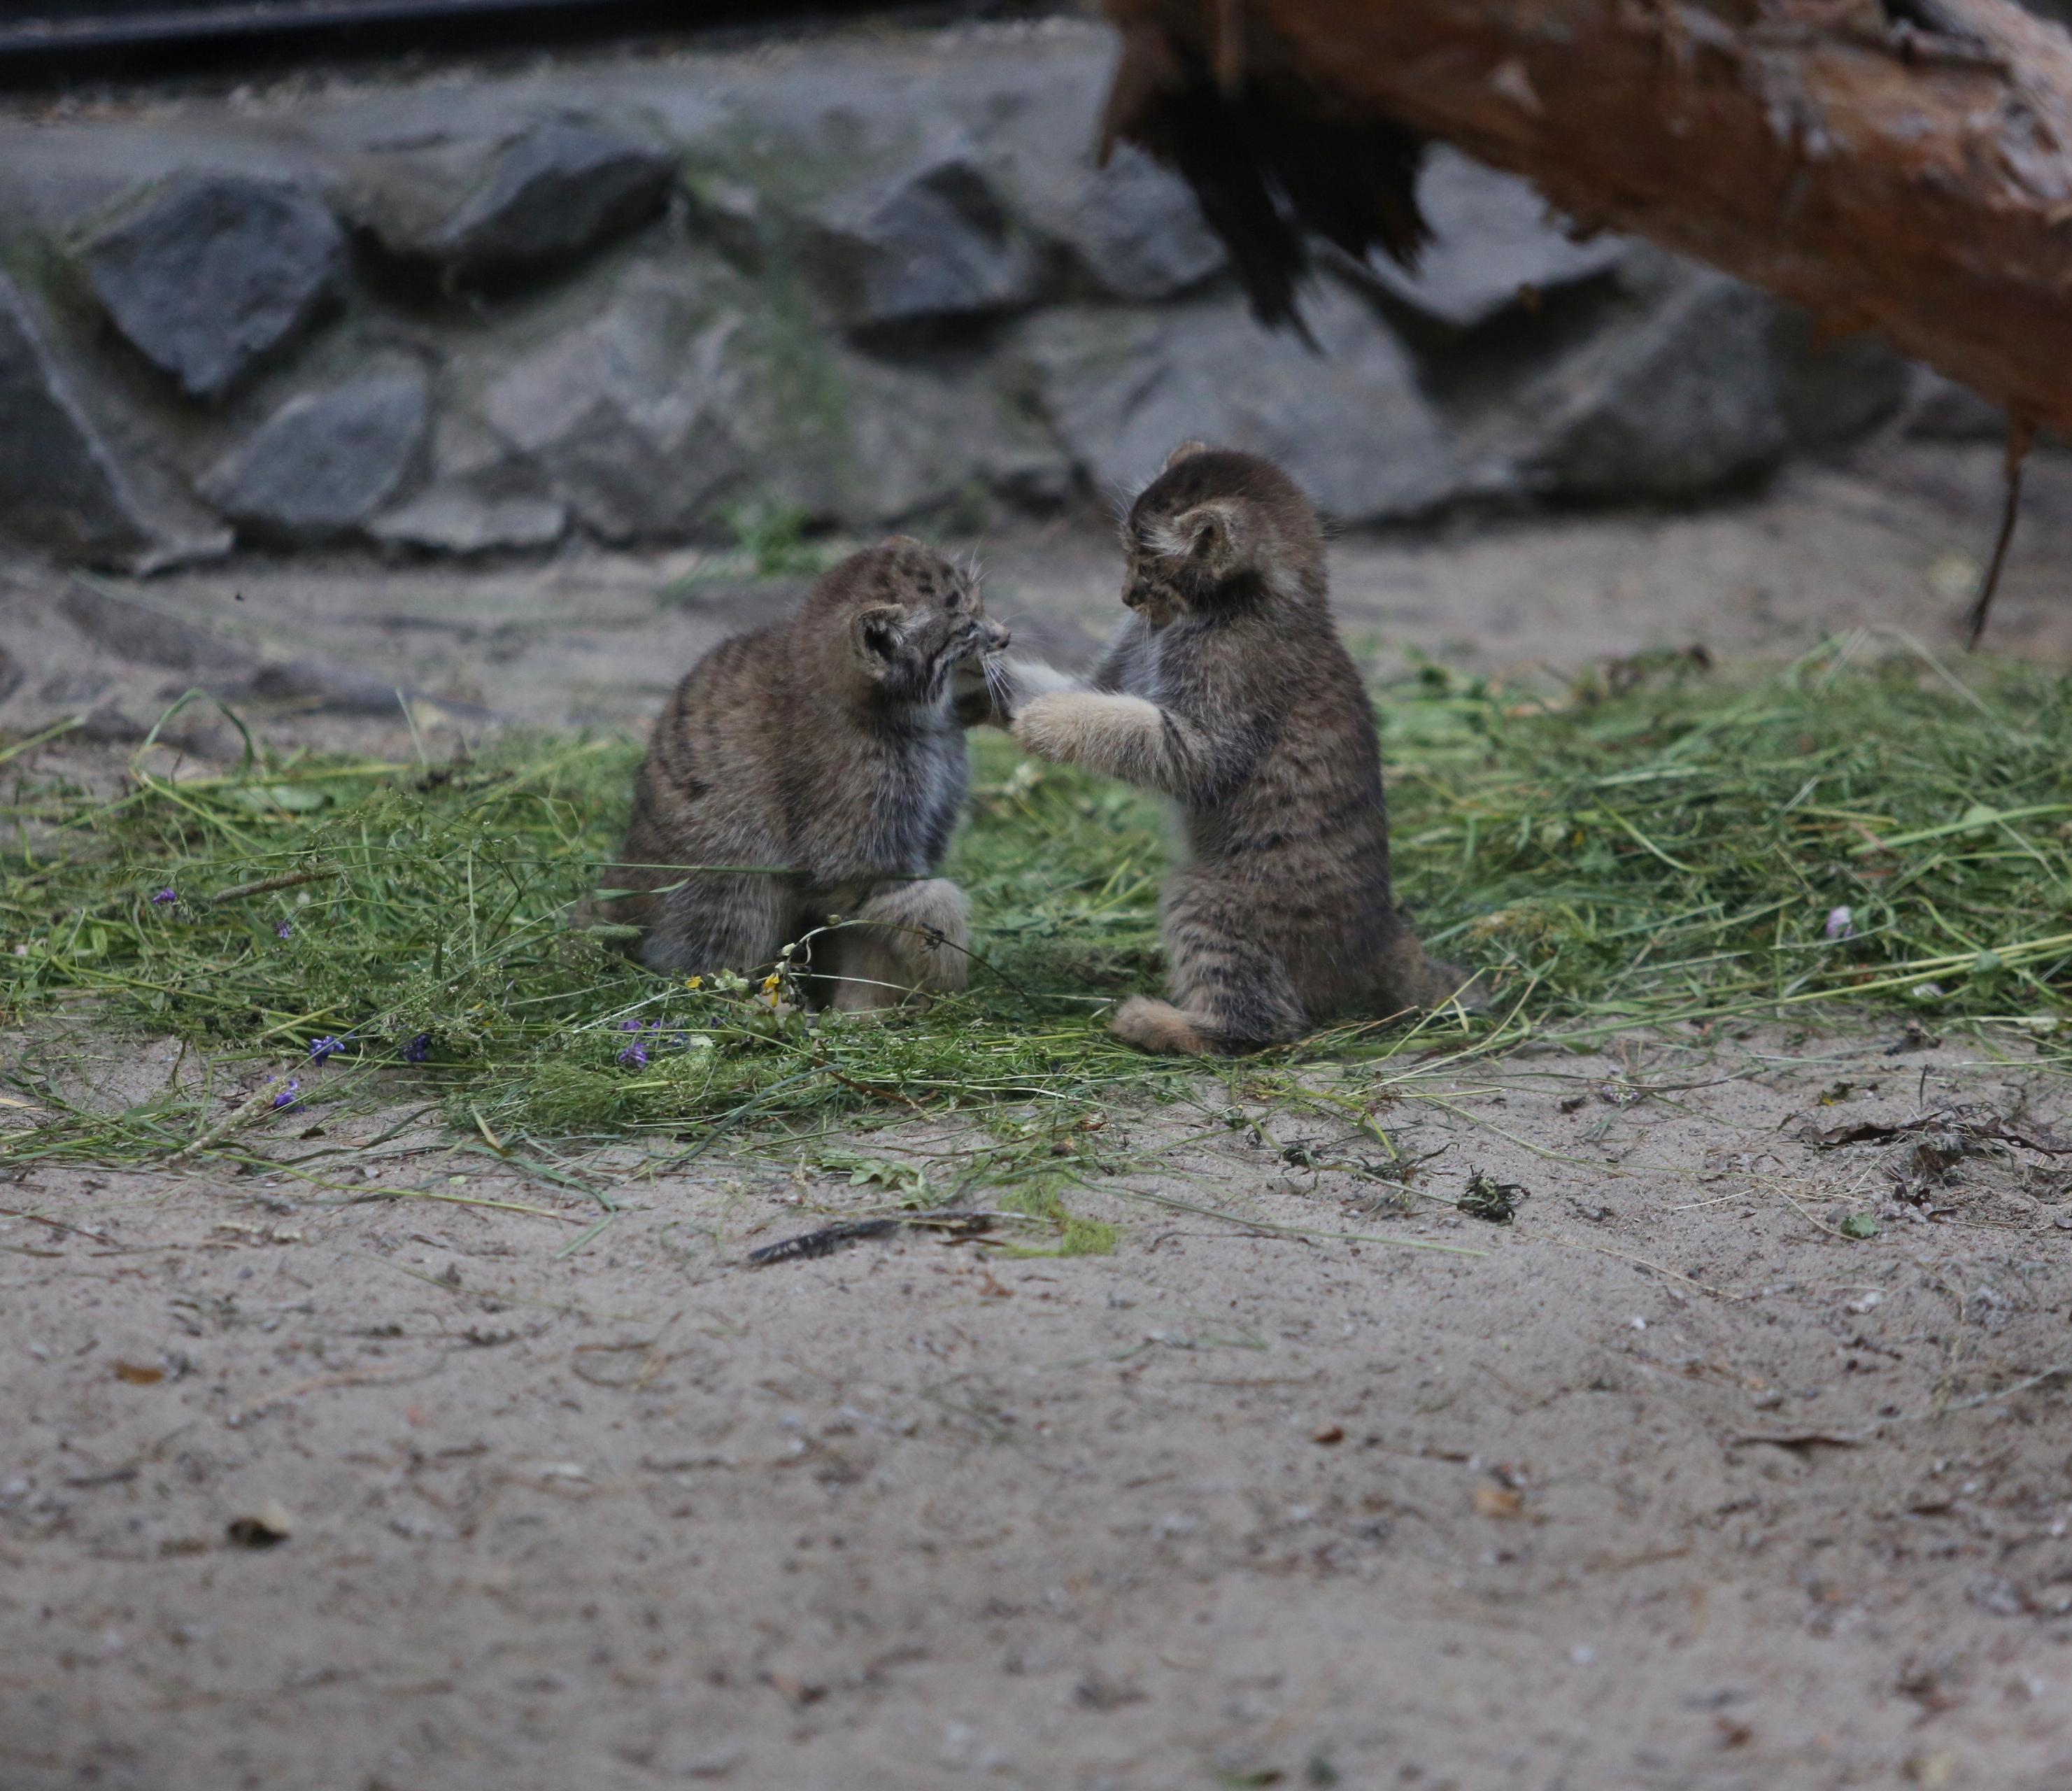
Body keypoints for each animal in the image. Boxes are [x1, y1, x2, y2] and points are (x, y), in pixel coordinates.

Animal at [604, 530, 1007, 1007]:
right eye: (966, 627)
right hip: (734, 886)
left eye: (982, 606)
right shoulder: (851, 863)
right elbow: (936, 904)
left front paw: (867, 1008)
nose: (1005, 637)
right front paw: (944, 976)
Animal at [1007, 441, 1475, 1049]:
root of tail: (1384, 937)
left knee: (1264, 1025)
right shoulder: (1114, 675)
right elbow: (1063, 687)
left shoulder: (1203, 739)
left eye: (1144, 561)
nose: (1126, 596)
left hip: (1206, 900)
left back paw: (1153, 1021)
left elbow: (1115, 724)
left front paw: (1043, 721)